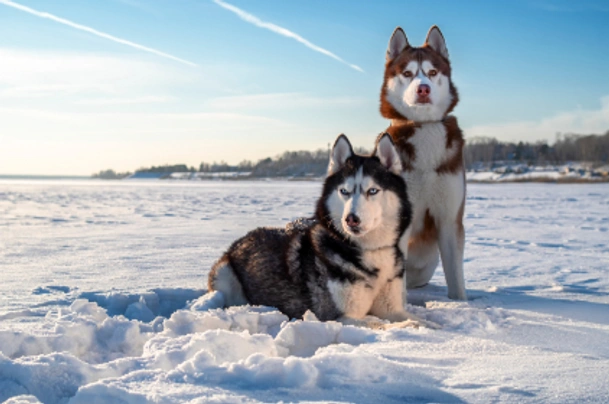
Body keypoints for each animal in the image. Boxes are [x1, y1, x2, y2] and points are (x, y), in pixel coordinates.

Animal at [209, 135, 432, 328]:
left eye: (373, 190)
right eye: (344, 191)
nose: (351, 219)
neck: (369, 251)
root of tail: (240, 240)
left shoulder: (391, 308)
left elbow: (420, 320)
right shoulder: (338, 316)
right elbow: (379, 323)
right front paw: (408, 327)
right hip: (225, 275)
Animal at [378, 26, 468, 300]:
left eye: (432, 72)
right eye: (407, 73)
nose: (423, 89)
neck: (424, 126)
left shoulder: (449, 218)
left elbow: (456, 278)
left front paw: (461, 303)